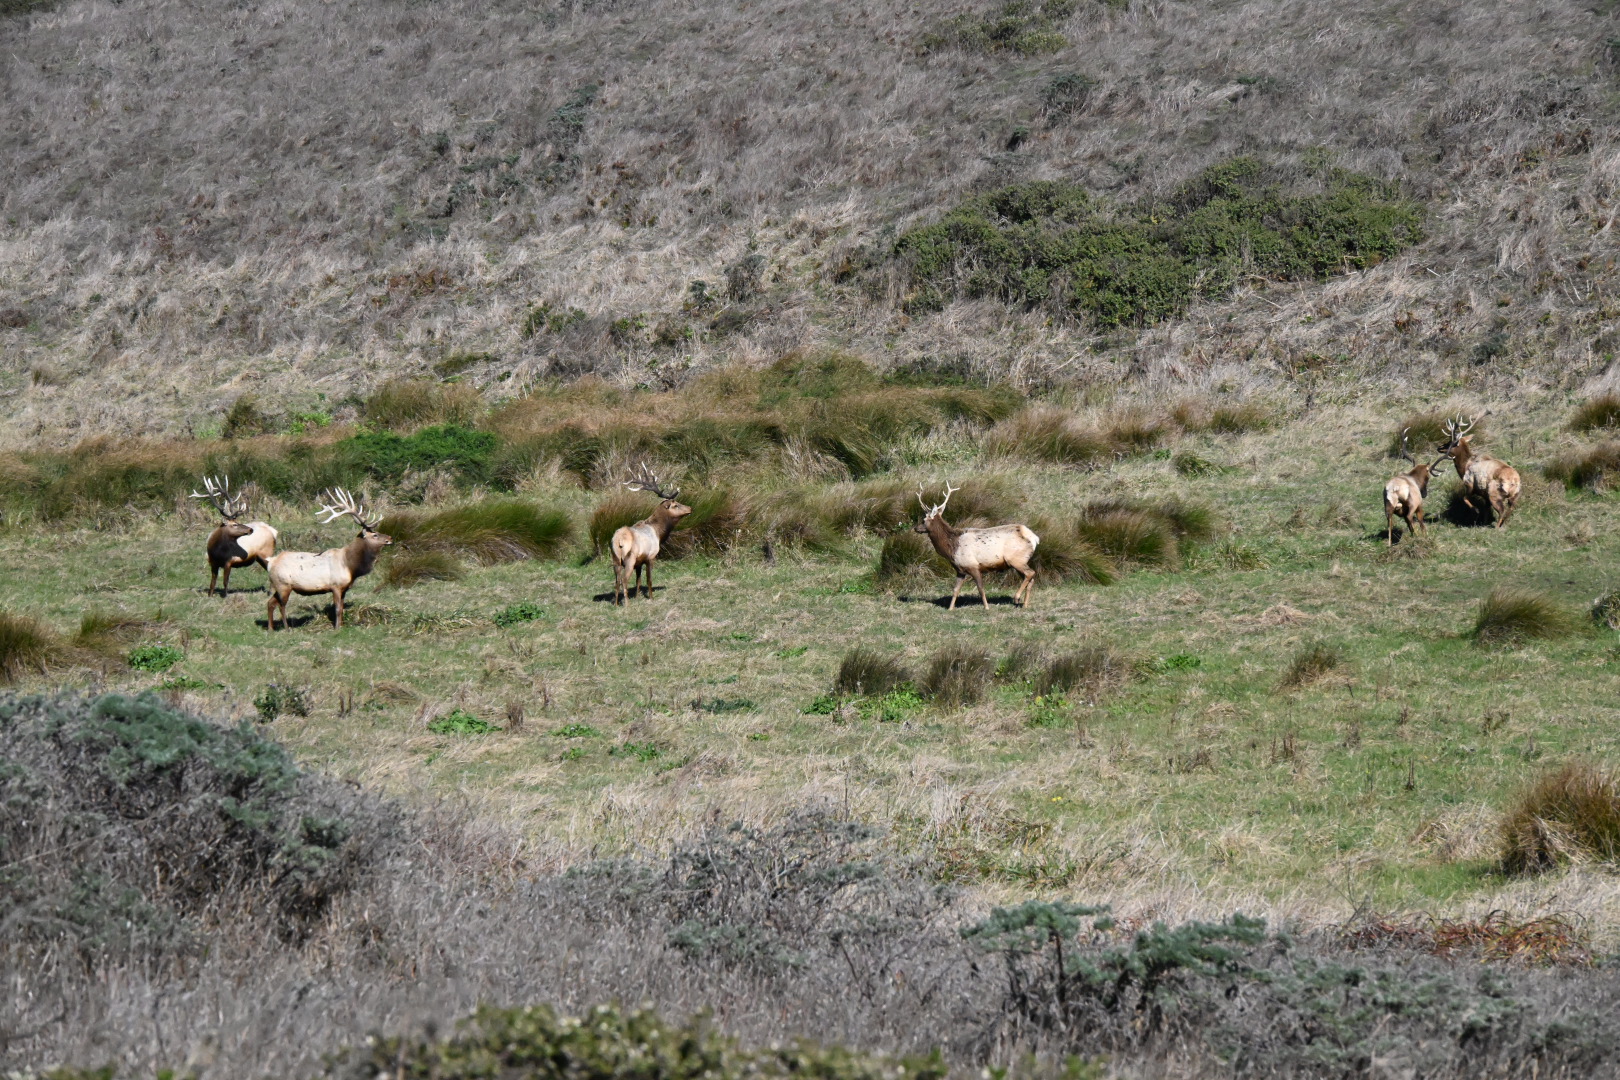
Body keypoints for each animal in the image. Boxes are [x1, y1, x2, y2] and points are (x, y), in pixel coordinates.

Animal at [264, 488, 392, 630]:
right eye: (375, 535)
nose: (390, 538)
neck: (350, 566)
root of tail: (270, 562)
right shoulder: (335, 585)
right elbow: (337, 609)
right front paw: (336, 628)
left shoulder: (344, 588)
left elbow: (342, 608)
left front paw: (341, 625)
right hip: (283, 584)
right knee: (281, 605)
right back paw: (287, 628)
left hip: (279, 586)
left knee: (270, 603)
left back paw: (270, 628)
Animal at [610, 464, 692, 605]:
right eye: (675, 505)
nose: (690, 508)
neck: (659, 533)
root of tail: (619, 540)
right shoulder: (650, 556)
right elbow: (649, 579)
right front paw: (651, 598)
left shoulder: (639, 562)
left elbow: (638, 580)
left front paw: (638, 596)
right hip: (629, 559)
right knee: (624, 580)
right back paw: (627, 604)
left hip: (615, 559)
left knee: (616, 581)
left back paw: (616, 604)